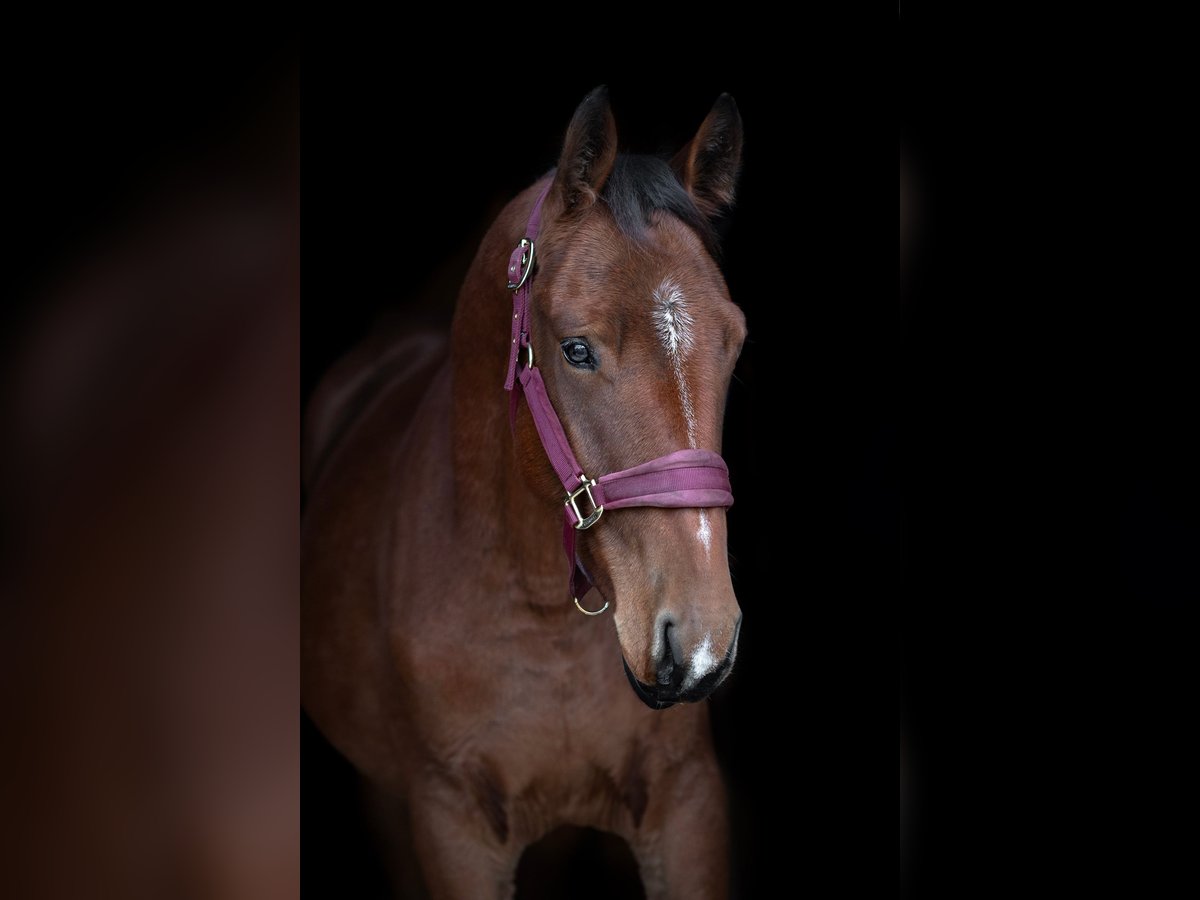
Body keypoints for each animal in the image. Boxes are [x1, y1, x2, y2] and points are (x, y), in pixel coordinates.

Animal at [304, 86, 744, 900]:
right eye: (575, 349)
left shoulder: (687, 803)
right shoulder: (451, 826)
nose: (698, 643)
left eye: (735, 341)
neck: (536, 611)